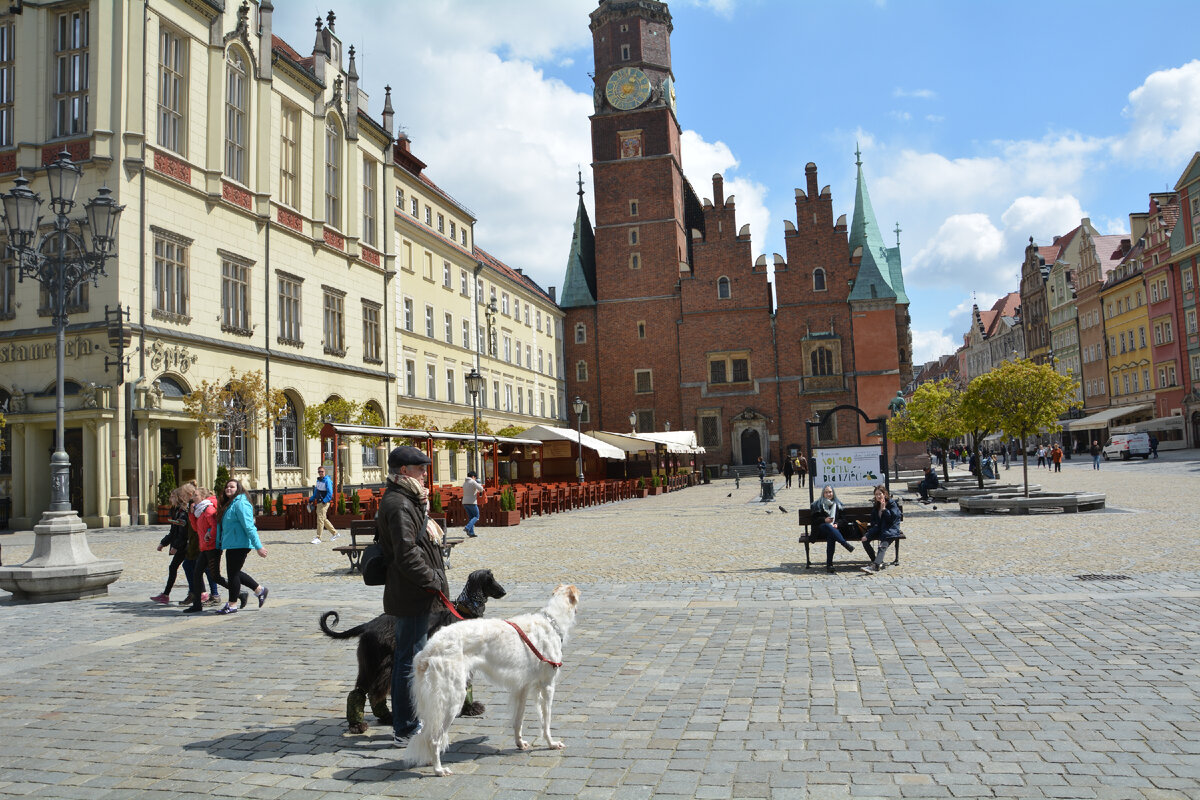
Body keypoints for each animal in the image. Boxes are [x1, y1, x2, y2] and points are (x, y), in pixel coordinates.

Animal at [319, 568, 506, 734]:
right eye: (490, 579)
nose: (504, 592)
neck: (464, 612)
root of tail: (368, 625)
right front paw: (469, 708)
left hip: (382, 666)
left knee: (374, 693)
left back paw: (386, 717)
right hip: (375, 664)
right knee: (360, 692)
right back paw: (357, 726)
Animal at [403, 582, 580, 777]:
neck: (551, 622)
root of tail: (427, 651)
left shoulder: (523, 688)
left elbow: (518, 721)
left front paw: (520, 743)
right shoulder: (547, 686)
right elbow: (546, 722)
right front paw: (551, 744)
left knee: (429, 736)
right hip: (451, 700)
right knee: (434, 739)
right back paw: (439, 769)